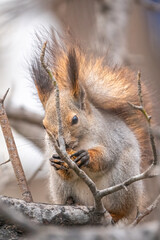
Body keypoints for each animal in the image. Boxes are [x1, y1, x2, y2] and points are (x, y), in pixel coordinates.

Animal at [31, 30, 151, 223]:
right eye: (44, 126)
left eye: (75, 119)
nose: (62, 142)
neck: (80, 142)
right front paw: (58, 162)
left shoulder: (111, 138)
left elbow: (107, 156)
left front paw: (86, 156)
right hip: (59, 187)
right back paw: (71, 203)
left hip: (123, 181)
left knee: (121, 209)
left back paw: (115, 214)